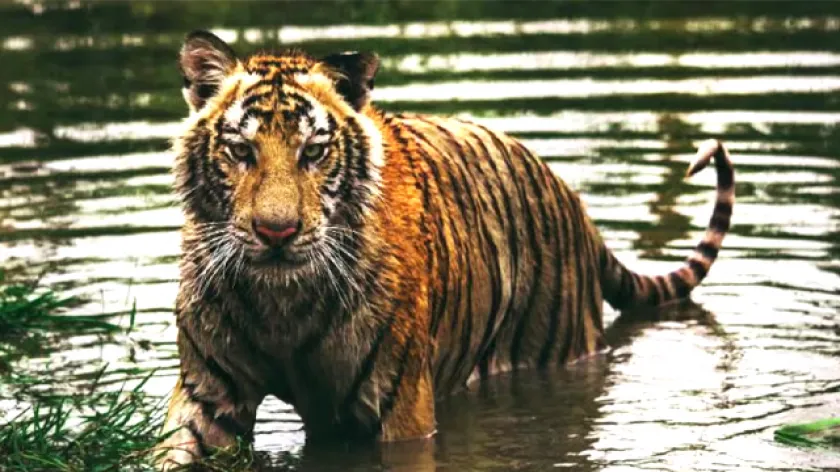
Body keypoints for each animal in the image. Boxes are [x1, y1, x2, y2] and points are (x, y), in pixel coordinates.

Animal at [156, 30, 734, 468]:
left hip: (555, 350)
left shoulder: (399, 409)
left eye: (314, 152)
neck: (281, 305)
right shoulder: (208, 396)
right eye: (241, 150)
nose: (276, 232)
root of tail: (575, 203)